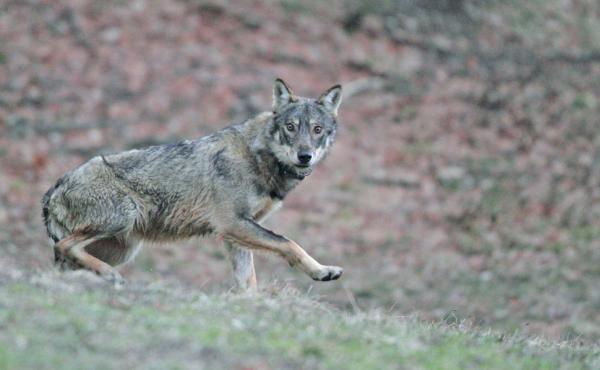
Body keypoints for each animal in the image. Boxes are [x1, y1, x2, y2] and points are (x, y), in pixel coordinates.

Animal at [41, 78, 342, 290]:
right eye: (291, 127)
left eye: (317, 130)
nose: (305, 156)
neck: (259, 156)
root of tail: (53, 190)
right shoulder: (233, 224)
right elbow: (289, 243)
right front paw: (321, 271)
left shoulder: (236, 233)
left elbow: (249, 284)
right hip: (121, 219)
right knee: (65, 246)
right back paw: (110, 275)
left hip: (123, 247)